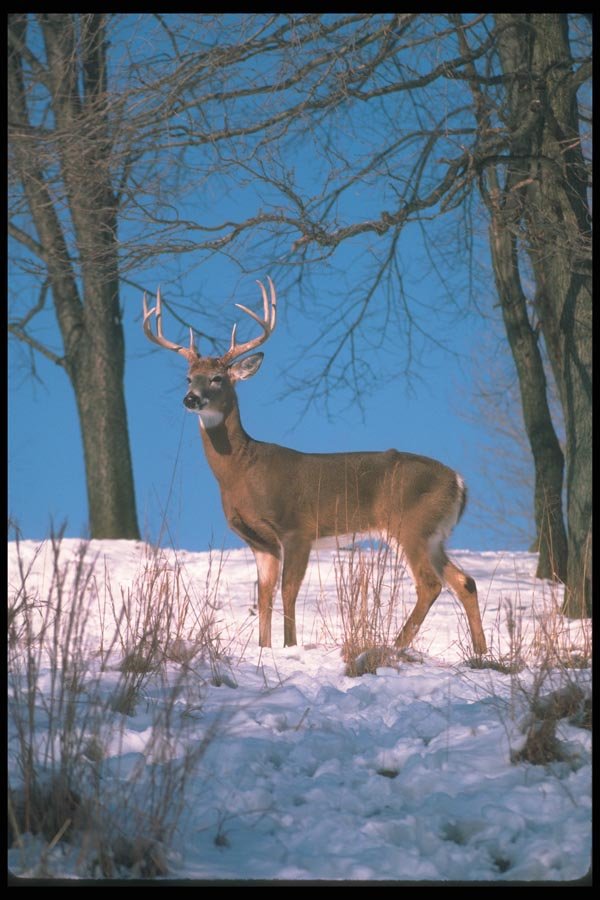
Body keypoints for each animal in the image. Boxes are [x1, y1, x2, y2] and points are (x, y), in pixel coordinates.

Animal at [142, 279, 487, 656]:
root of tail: (459, 481)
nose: (190, 399)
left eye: (218, 377)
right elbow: (263, 596)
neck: (242, 470)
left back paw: (394, 646)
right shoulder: (259, 541)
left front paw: (289, 645)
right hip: (433, 534)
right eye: (189, 377)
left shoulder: (296, 528)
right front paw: (264, 648)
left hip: (409, 524)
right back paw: (481, 653)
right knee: (464, 581)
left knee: (430, 584)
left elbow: (288, 591)